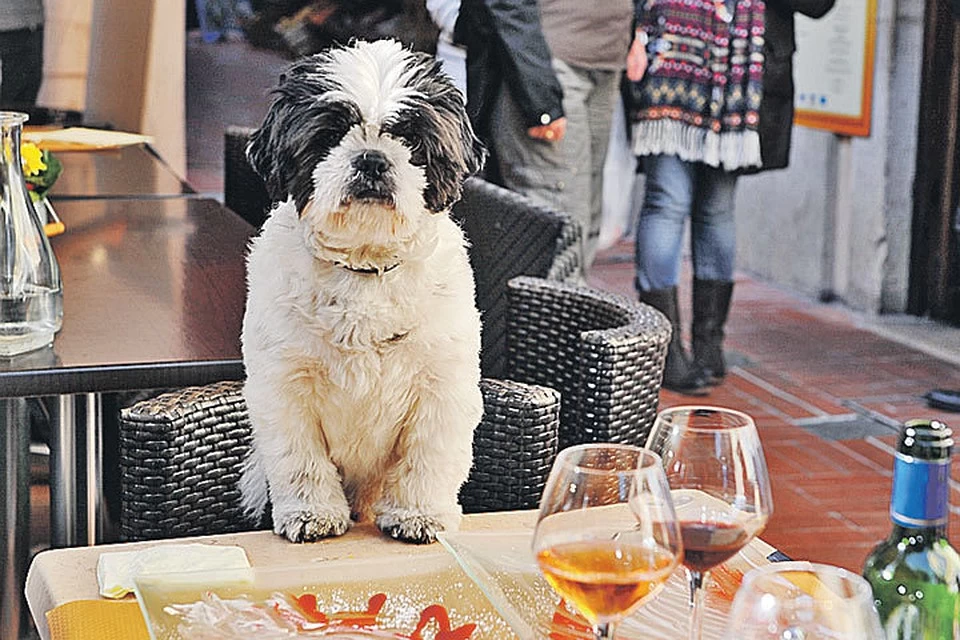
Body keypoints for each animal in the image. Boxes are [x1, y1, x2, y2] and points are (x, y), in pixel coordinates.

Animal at [236, 38, 484, 544]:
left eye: (410, 138)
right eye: (330, 135)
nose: (372, 158)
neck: (364, 268)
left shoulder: (441, 388)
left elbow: (427, 457)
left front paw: (418, 513)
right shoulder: (284, 386)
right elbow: (300, 460)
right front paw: (311, 513)